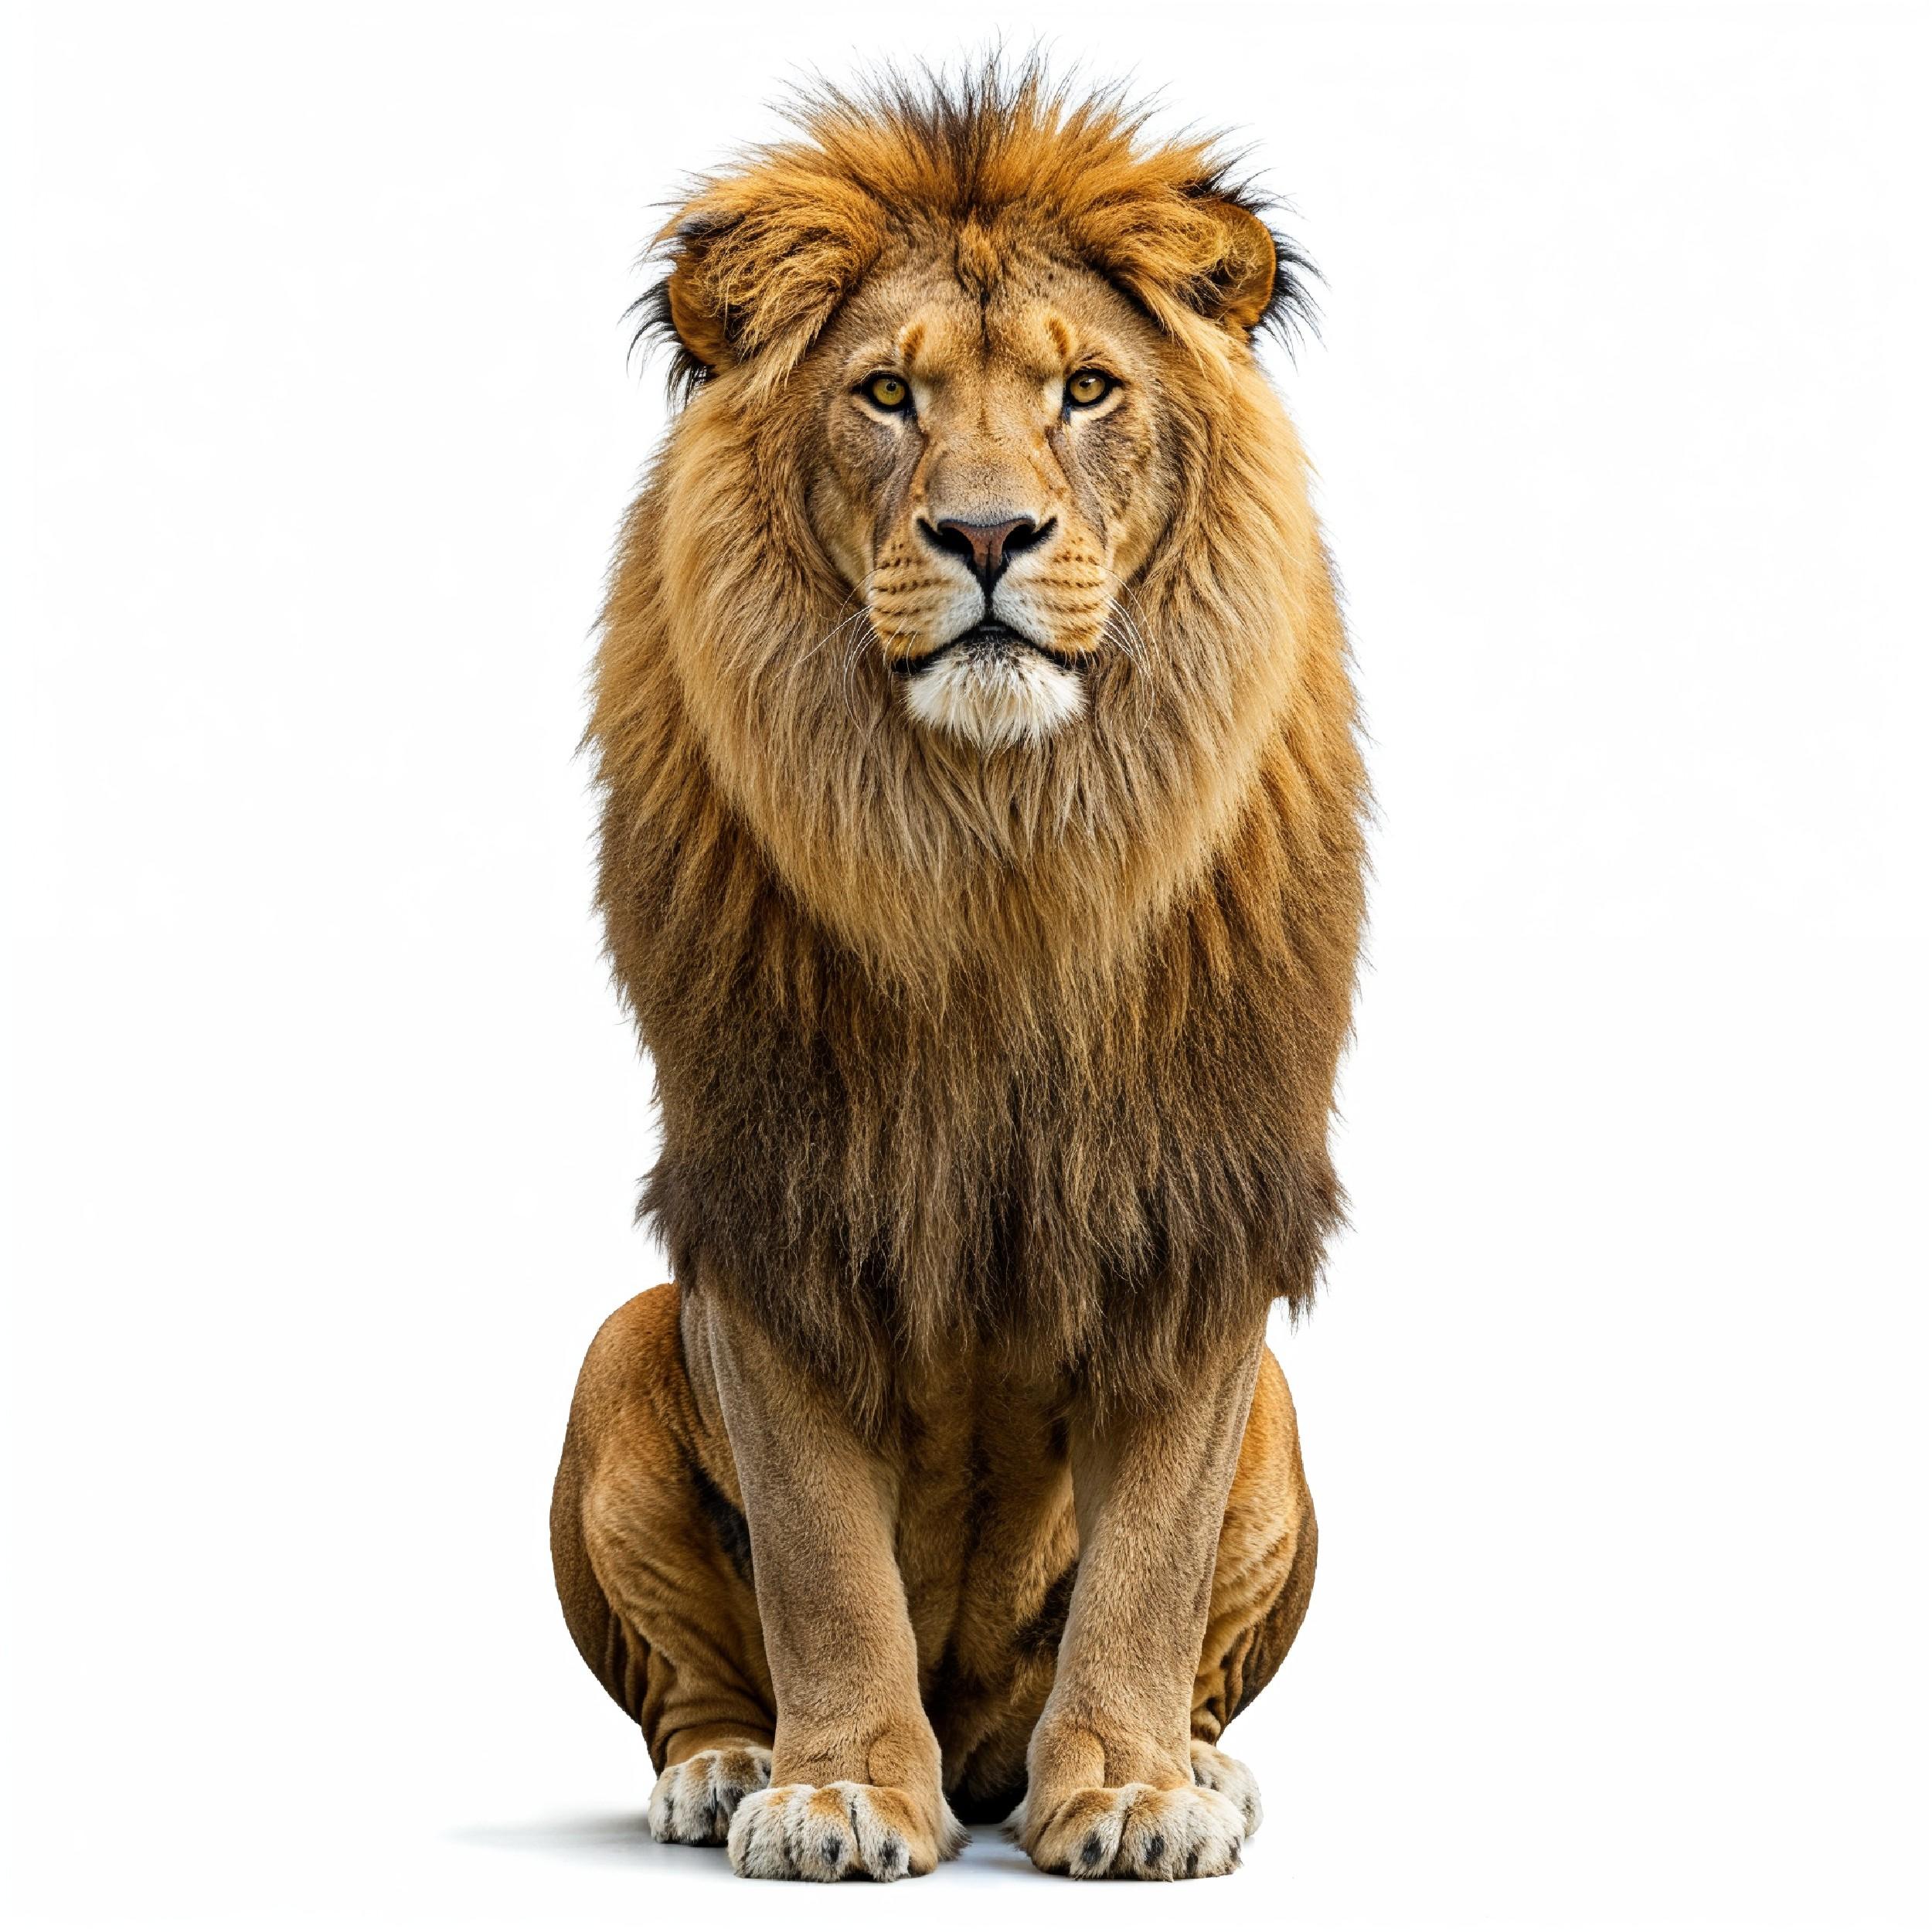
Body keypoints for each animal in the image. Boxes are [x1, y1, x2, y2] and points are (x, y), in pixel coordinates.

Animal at [550, 63, 1366, 1882]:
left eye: (1084, 389)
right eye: (882, 395)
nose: (987, 531)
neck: (997, 842)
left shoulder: (1187, 1202)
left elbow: (1147, 1558)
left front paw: (1128, 1789)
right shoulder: (775, 1198)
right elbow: (818, 1553)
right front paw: (837, 1787)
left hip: (1278, 1415)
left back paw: (1197, 1765)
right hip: (623, 1344)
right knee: (688, 1672)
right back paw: (727, 1763)